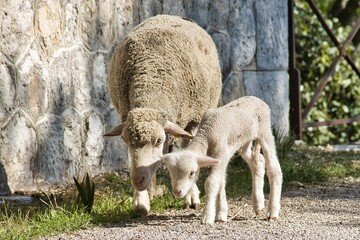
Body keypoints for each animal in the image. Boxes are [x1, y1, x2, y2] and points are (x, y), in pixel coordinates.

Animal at [103, 14, 222, 216]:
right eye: (125, 140)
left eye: (159, 140)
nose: (137, 180)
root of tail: (169, 16)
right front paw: (141, 200)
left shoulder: (192, 121)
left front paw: (191, 196)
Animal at [162, 96, 282, 225]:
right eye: (171, 173)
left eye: (192, 173)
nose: (177, 191)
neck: (206, 134)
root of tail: (256, 98)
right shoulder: (219, 158)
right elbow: (220, 182)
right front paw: (221, 214)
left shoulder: (221, 154)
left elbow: (212, 182)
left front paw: (207, 216)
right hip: (244, 141)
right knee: (258, 161)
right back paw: (258, 204)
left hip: (264, 131)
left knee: (274, 168)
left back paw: (272, 212)